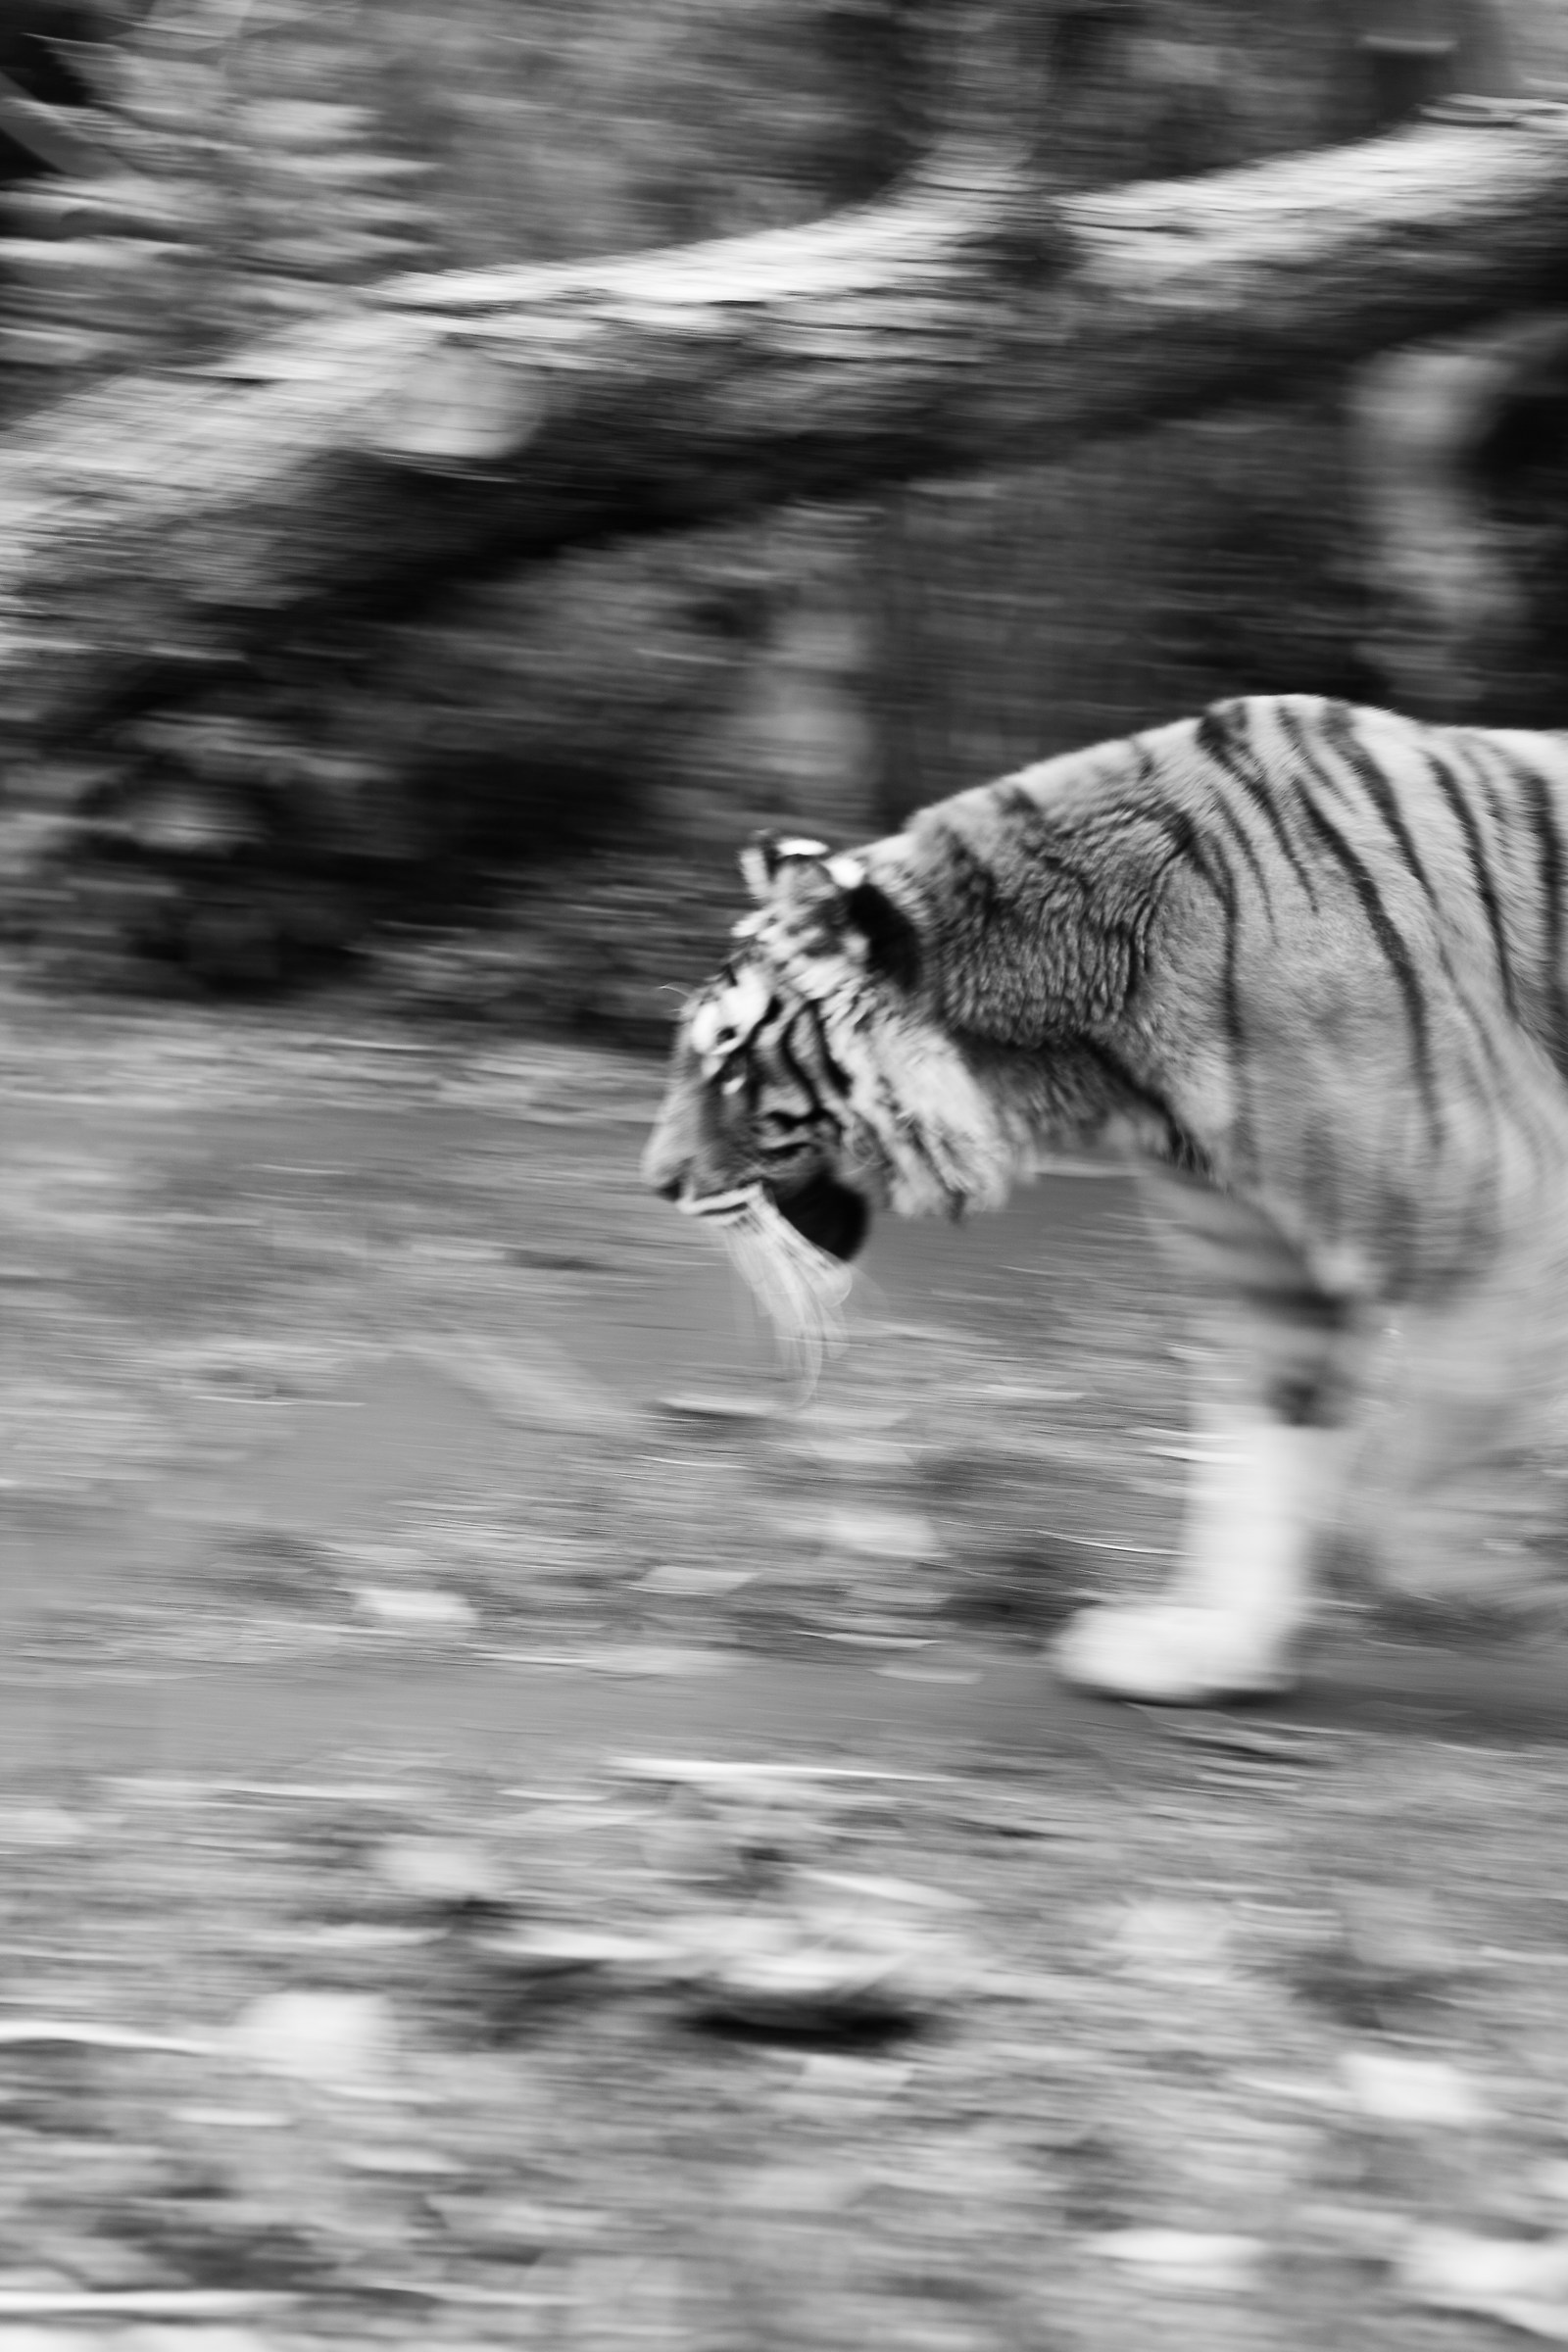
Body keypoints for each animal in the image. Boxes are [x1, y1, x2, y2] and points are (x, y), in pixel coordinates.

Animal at [642, 693, 1568, 1706]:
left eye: (730, 1065)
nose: (657, 1182)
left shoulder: (1497, 1211)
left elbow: (1417, 1467)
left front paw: (1486, 1582)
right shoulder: (1259, 1259)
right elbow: (1257, 1461)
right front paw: (1212, 1654)